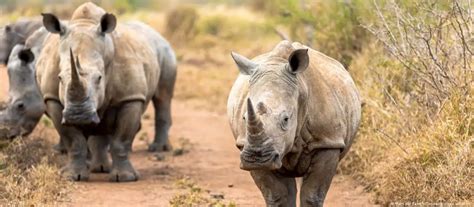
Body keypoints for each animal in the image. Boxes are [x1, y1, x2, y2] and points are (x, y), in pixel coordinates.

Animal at [36, 2, 176, 181]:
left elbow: (122, 139)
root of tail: (157, 34)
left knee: (163, 97)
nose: (77, 115)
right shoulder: (52, 98)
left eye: (99, 78)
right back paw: (100, 168)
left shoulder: (130, 98)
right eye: (60, 78)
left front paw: (125, 178)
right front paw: (73, 176)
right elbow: (74, 141)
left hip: (165, 51)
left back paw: (158, 149)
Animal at [228, 40, 362, 207]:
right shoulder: (245, 145)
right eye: (244, 118)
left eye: (286, 119)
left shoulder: (328, 141)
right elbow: (278, 196)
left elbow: (313, 196)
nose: (256, 159)